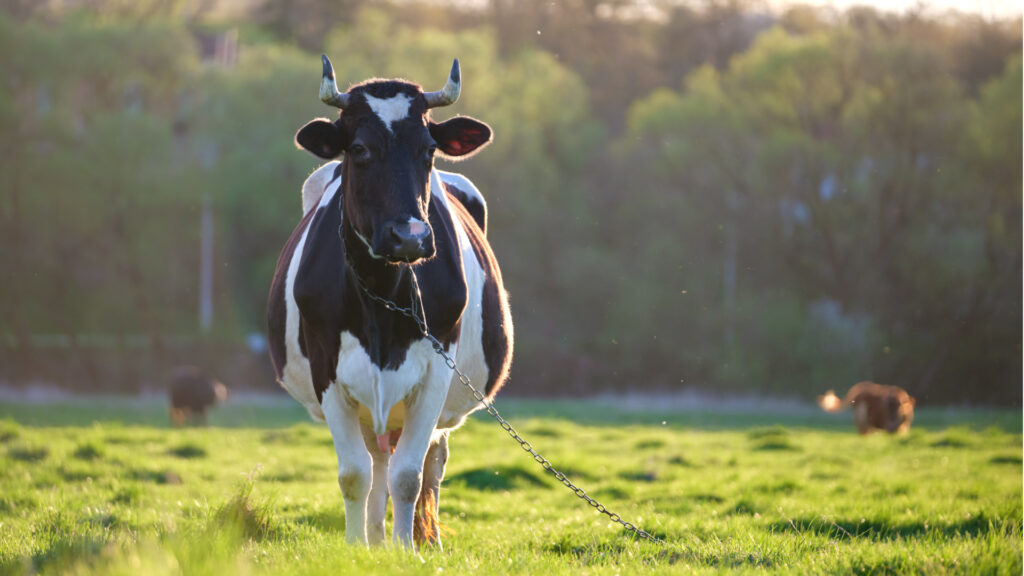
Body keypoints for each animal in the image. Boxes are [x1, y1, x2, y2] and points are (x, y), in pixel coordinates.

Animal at [266, 56, 512, 549]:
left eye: (429, 150)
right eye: (359, 148)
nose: (410, 236)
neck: (382, 296)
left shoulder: (437, 370)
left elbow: (408, 477)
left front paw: (407, 551)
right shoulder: (327, 368)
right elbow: (354, 474)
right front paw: (356, 548)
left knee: (427, 465)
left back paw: (418, 540)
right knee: (377, 460)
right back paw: (376, 539)